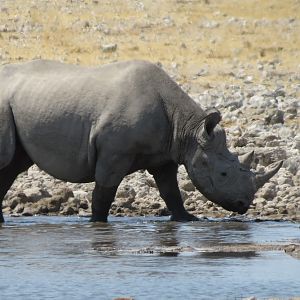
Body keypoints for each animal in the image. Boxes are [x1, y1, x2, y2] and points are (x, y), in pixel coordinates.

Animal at [0, 59, 282, 223]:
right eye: (223, 174)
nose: (243, 205)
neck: (189, 129)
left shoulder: (166, 154)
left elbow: (171, 191)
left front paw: (188, 220)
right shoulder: (114, 153)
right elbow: (104, 192)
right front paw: (97, 224)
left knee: (11, 167)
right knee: (7, 164)